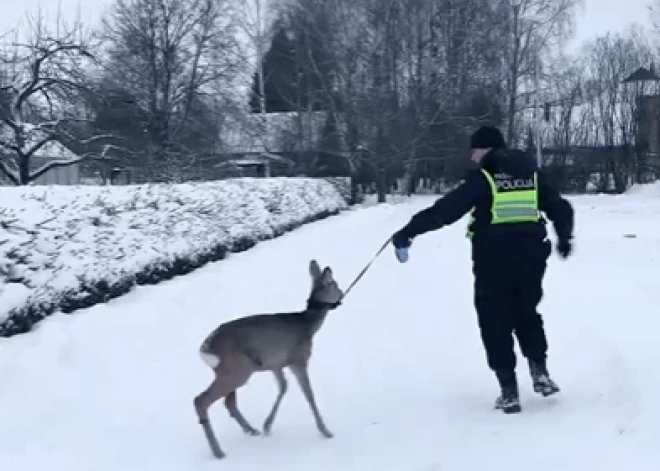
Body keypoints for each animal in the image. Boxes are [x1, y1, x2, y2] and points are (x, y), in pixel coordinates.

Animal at [192, 260, 342, 460]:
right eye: (336, 285)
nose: (342, 294)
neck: (308, 326)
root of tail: (205, 348)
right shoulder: (298, 359)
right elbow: (309, 394)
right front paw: (326, 431)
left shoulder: (276, 364)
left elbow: (283, 387)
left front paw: (267, 426)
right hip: (237, 369)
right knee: (200, 400)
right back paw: (218, 452)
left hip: (232, 371)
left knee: (228, 402)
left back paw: (251, 430)